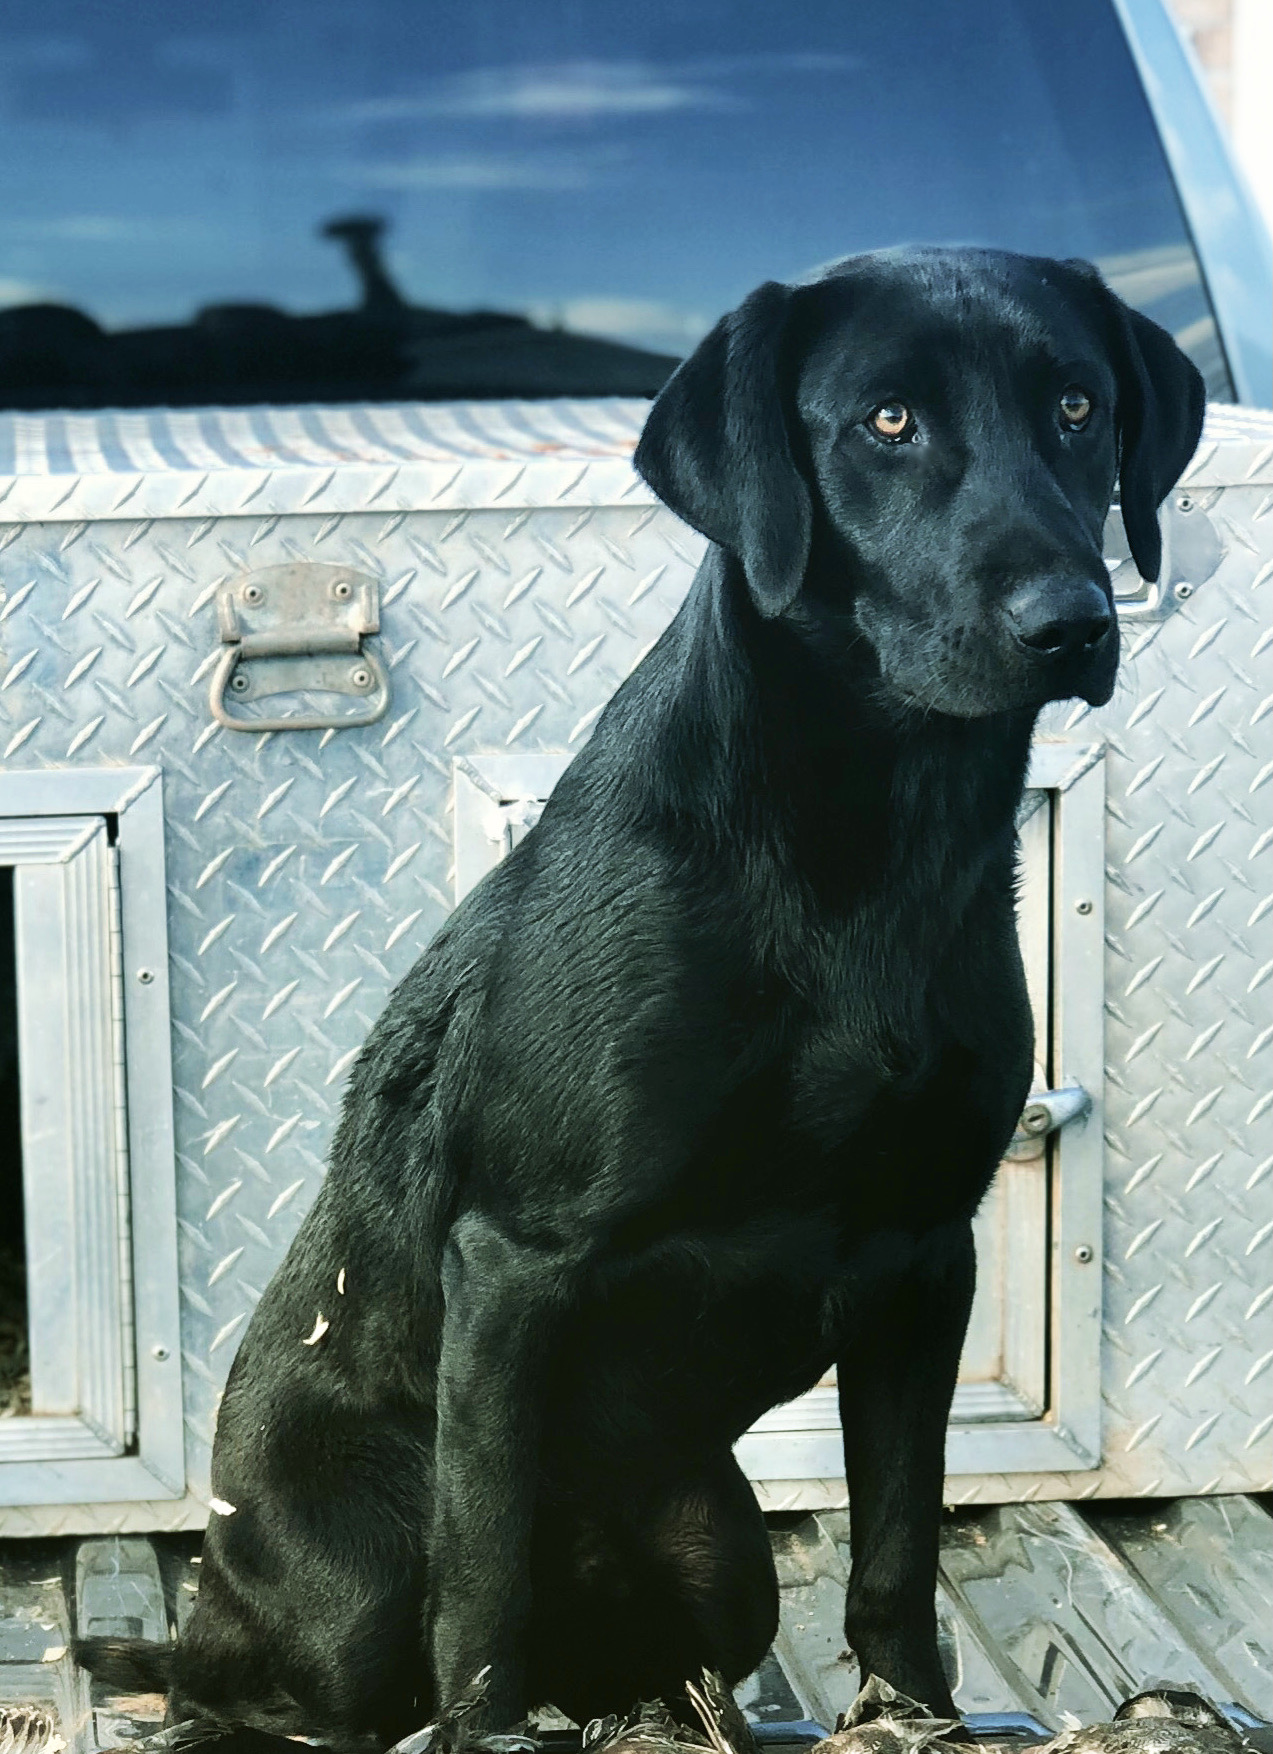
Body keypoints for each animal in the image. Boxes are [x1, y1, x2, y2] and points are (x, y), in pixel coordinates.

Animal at [79, 247, 1206, 1754]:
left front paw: (912, 1712)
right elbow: (480, 1577)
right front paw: (487, 1729)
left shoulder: (926, 1256)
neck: (865, 864)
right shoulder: (517, 1262)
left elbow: (898, 1542)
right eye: (887, 420)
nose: (1069, 621)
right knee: (279, 1679)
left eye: (1078, 405)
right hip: (353, 1574)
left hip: (719, 1548)